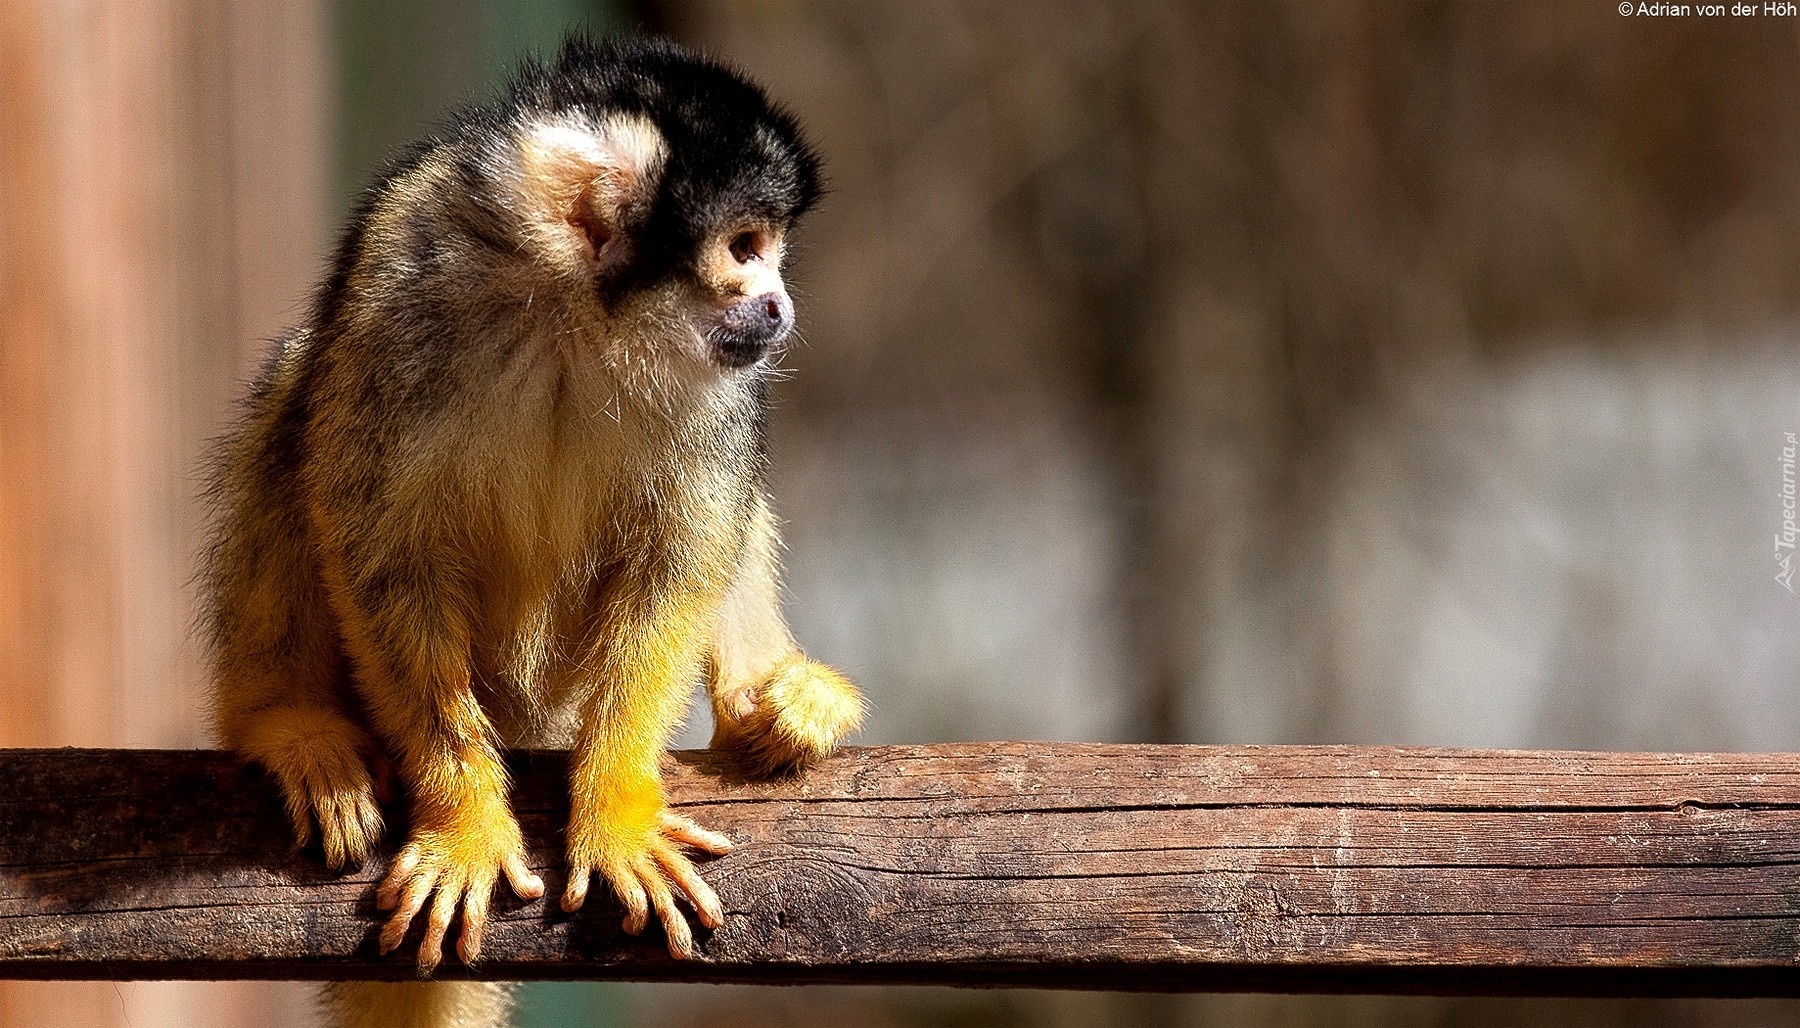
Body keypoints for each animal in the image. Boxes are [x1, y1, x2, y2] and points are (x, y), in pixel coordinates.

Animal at [200, 36, 864, 1028]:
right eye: (746, 248)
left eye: (774, 250)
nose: (780, 306)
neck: (577, 319)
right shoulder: (403, 287)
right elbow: (380, 544)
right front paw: (464, 819)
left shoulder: (720, 378)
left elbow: (680, 554)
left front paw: (618, 807)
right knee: (298, 393)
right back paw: (283, 719)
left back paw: (767, 702)